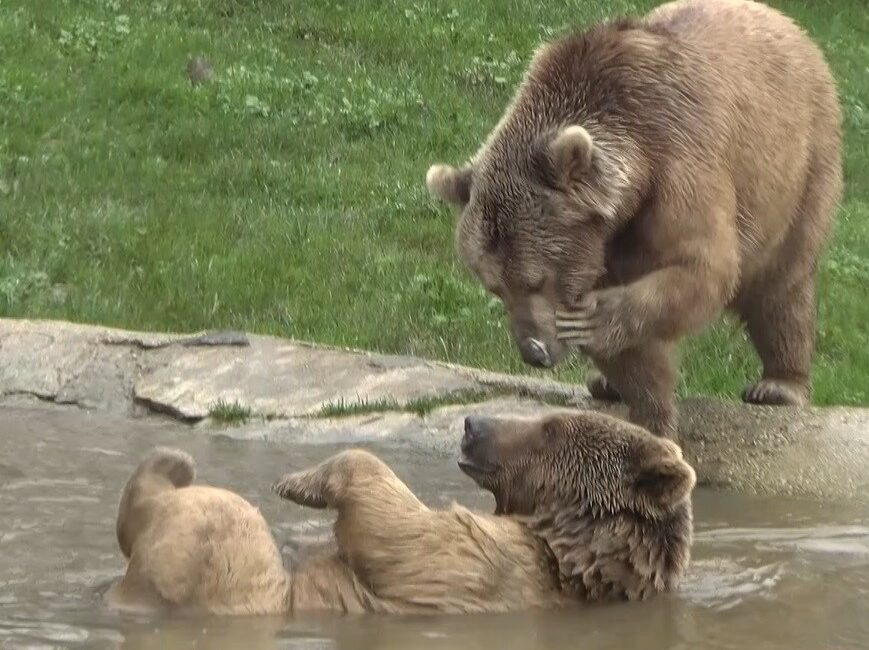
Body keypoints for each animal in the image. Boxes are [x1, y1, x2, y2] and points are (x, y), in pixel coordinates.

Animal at [105, 410, 696, 612]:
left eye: (550, 425)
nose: (473, 423)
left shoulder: (497, 564)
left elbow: (396, 530)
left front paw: (298, 481)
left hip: (236, 584)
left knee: (218, 517)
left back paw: (171, 464)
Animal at [426, 0, 840, 438]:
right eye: (494, 287)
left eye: (535, 279)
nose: (533, 352)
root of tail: (782, 20)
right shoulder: (603, 240)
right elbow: (637, 354)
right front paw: (649, 412)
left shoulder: (679, 162)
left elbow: (702, 266)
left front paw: (593, 321)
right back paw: (604, 383)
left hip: (800, 163)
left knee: (782, 283)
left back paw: (779, 384)